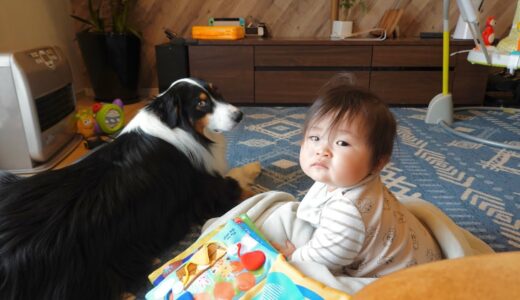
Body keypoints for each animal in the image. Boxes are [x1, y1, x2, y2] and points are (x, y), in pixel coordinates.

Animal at [0, 78, 246, 300]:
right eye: (201, 104)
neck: (178, 127)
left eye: (217, 92)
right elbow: (236, 182)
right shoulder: (209, 192)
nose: (240, 115)